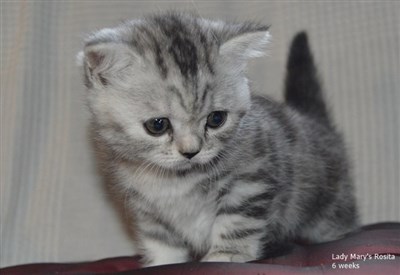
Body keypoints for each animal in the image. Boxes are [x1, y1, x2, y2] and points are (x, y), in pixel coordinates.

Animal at [77, 12, 356, 268]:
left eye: (216, 119)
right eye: (157, 125)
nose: (191, 151)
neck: (174, 181)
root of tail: (313, 121)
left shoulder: (251, 180)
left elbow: (236, 222)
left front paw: (226, 255)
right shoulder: (147, 210)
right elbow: (162, 242)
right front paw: (162, 262)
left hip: (330, 212)